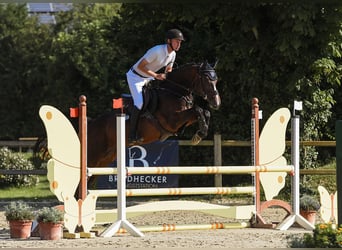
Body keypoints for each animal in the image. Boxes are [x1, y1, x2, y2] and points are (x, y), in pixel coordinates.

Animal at [87, 61, 222, 169]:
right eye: (206, 79)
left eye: (216, 80)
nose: (216, 103)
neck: (175, 92)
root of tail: (92, 123)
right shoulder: (173, 121)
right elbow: (198, 110)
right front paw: (198, 136)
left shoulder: (184, 120)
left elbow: (204, 112)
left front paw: (200, 133)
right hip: (94, 157)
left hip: (107, 158)